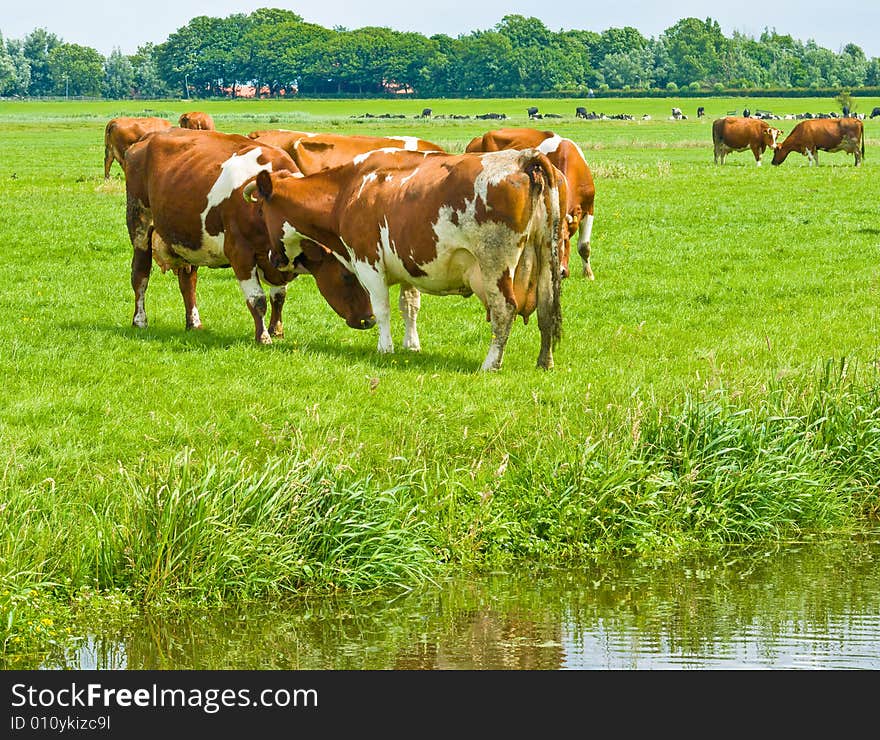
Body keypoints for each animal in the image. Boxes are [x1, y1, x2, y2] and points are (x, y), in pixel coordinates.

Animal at [122, 128, 372, 344]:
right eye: (346, 276)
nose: (369, 319)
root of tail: (150, 136)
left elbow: (278, 297)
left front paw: (276, 331)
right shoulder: (240, 253)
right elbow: (257, 299)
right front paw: (263, 337)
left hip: (189, 239)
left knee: (188, 281)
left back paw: (194, 323)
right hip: (140, 223)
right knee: (140, 275)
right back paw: (139, 320)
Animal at [248, 148, 564, 372]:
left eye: (262, 212)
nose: (274, 259)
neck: (348, 190)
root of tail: (524, 158)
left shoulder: (368, 262)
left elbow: (382, 308)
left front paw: (385, 348)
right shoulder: (407, 263)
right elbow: (409, 306)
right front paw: (411, 345)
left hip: (494, 264)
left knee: (504, 310)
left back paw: (491, 363)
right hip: (547, 258)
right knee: (547, 310)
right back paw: (545, 361)